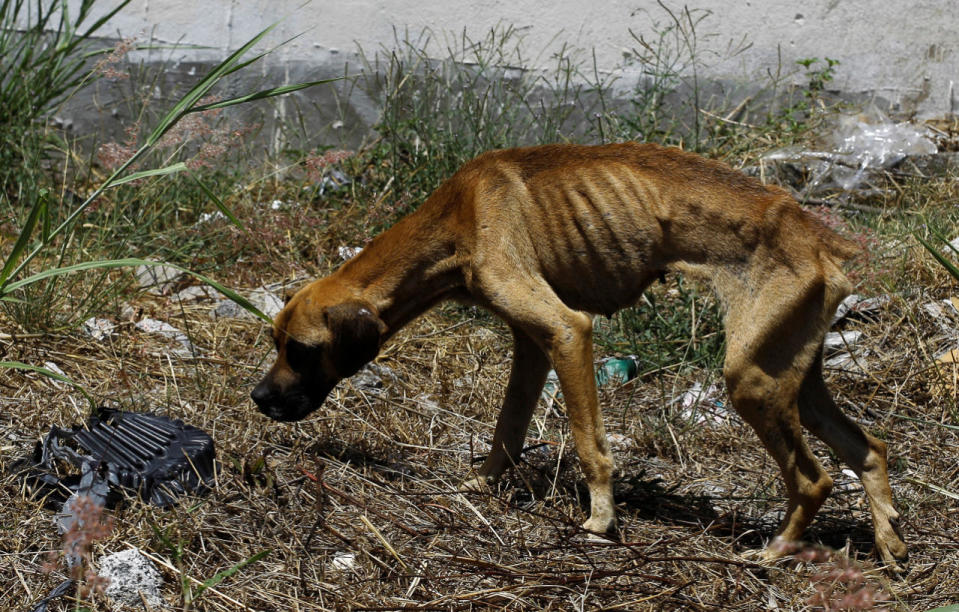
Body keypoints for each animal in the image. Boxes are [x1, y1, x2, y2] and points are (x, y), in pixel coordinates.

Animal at [251, 141, 912, 568]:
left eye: (301, 350)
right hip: (792, 376)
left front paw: (599, 520)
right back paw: (889, 543)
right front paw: (482, 485)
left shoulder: (568, 332)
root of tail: (814, 232)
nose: (258, 399)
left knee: (814, 479)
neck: (459, 214)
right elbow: (508, 429)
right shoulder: (530, 346)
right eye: (275, 343)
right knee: (869, 449)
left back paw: (775, 552)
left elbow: (591, 445)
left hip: (749, 380)